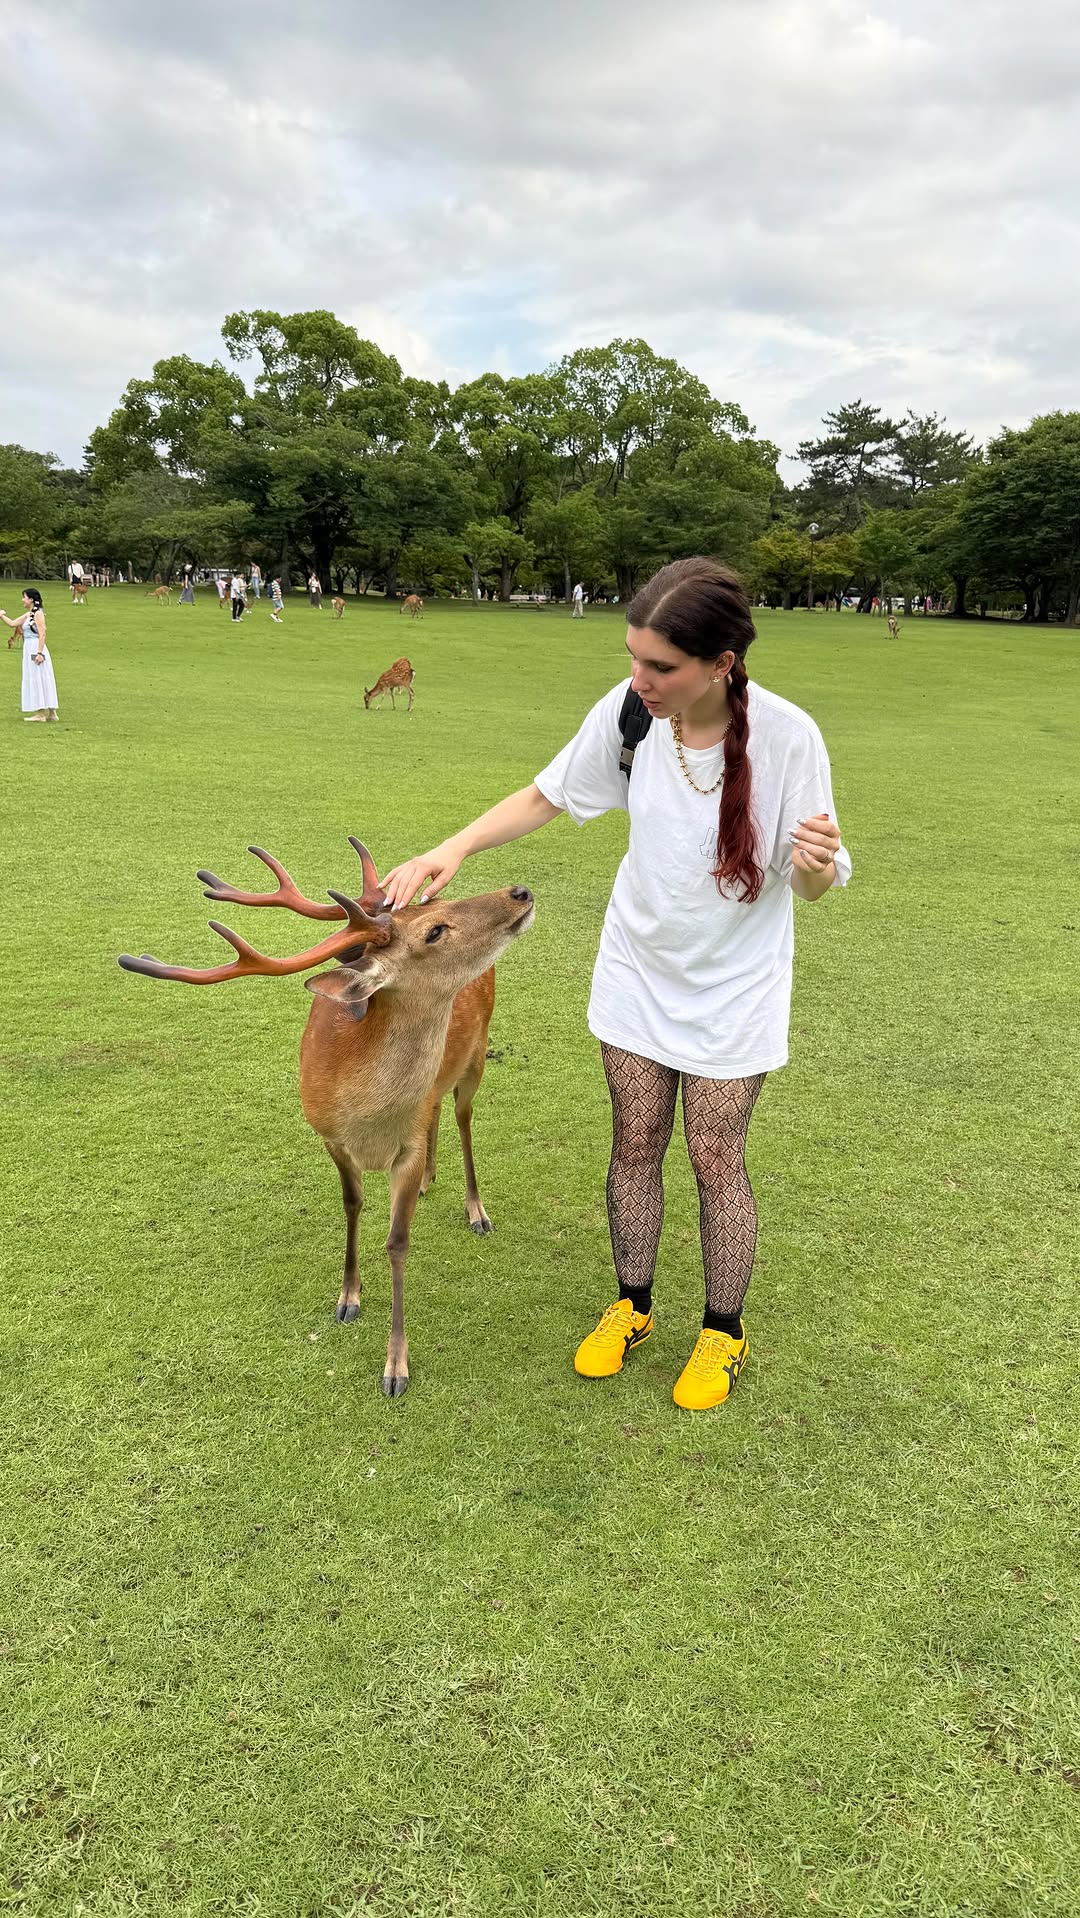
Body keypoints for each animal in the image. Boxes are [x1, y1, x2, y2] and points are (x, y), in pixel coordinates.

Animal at [118, 839, 534, 1396]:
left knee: (464, 1116)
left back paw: (476, 1211)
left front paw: (395, 1367)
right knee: (439, 1112)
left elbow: (397, 1243)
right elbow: (352, 1205)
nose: (519, 891)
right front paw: (348, 1298)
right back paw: (431, 1181)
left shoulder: (405, 1148)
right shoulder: (328, 1135)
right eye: (434, 929)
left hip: (478, 1052)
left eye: (440, 909)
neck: (368, 1117)